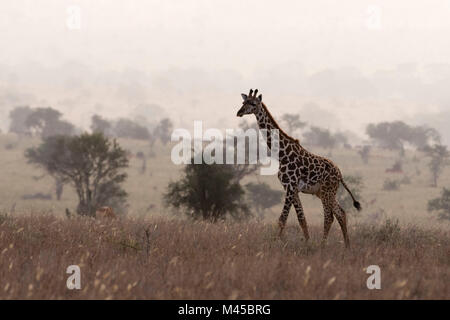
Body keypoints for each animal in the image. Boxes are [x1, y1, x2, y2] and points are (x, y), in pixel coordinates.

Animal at [237, 89, 360, 246]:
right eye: (243, 102)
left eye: (253, 103)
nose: (239, 112)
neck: (281, 154)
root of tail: (340, 174)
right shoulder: (291, 188)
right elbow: (302, 219)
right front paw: (307, 243)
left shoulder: (290, 186)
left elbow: (282, 219)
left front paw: (273, 243)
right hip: (324, 192)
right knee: (341, 213)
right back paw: (347, 246)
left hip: (327, 191)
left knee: (329, 217)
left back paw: (323, 245)